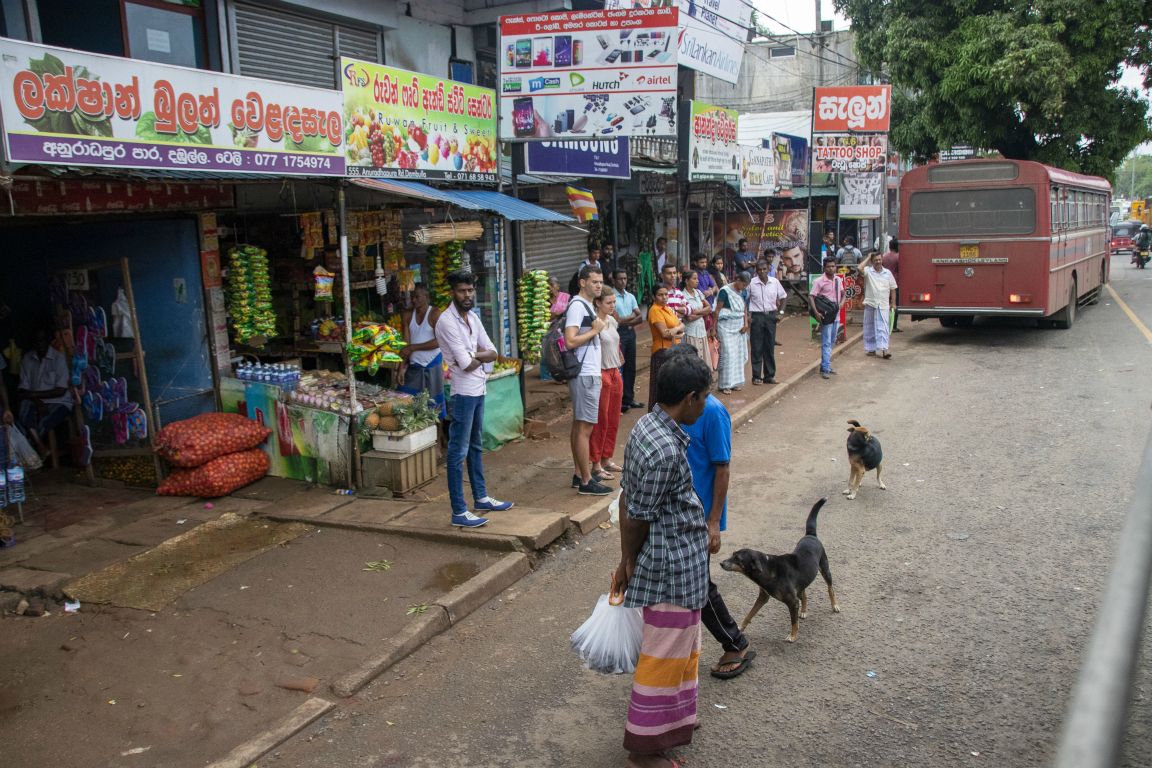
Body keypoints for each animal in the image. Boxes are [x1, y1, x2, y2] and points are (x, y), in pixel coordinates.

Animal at [714, 499, 843, 644]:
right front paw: (740, 627)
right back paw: (804, 611)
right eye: (732, 554)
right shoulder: (763, 597)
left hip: (825, 569)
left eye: (738, 559)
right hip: (802, 582)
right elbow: (750, 614)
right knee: (804, 594)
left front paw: (793, 636)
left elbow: (794, 622)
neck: (768, 567)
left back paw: (835, 605)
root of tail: (810, 535)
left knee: (830, 589)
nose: (721, 563)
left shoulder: (792, 602)